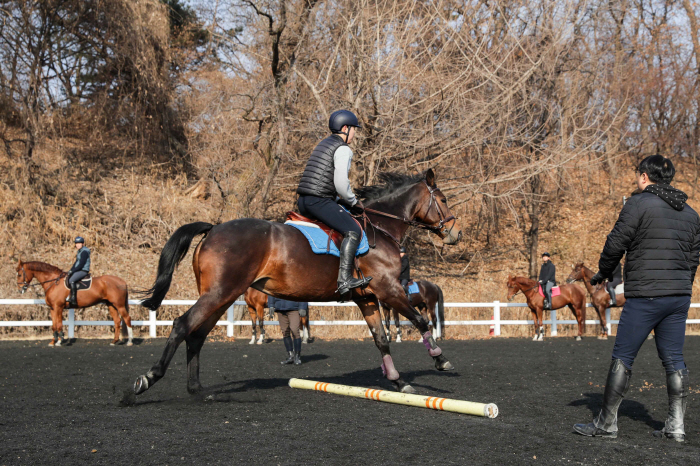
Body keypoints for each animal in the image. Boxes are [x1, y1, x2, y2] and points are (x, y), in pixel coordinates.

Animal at [132, 169, 462, 396]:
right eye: (444, 200)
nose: (455, 234)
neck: (379, 227)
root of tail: (213, 229)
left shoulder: (367, 297)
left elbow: (381, 338)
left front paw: (398, 381)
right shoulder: (388, 290)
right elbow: (421, 321)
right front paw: (440, 360)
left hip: (221, 297)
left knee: (197, 335)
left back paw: (197, 388)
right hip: (220, 293)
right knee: (182, 325)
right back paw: (148, 379)